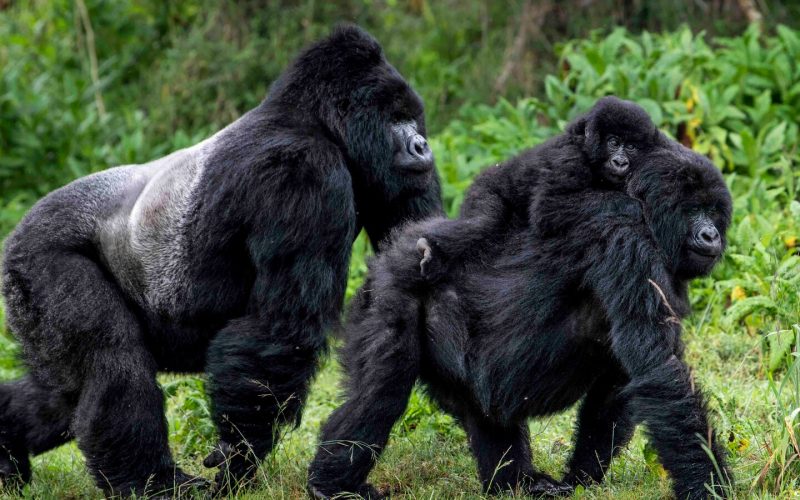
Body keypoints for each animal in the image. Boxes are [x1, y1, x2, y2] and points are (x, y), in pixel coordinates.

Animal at [0, 25, 440, 494]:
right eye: (395, 118)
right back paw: (153, 484)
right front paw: (241, 452)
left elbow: (403, 290)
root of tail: (17, 231)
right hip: (37, 257)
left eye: (413, 117)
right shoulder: (301, 173)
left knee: (61, 393)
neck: (316, 122)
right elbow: (278, 329)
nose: (422, 145)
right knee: (111, 363)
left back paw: (7, 450)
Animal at [412, 94, 664, 282]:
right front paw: (632, 206)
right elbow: (548, 207)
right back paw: (432, 250)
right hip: (482, 189)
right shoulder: (569, 160)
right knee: (483, 221)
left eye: (631, 147)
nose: (620, 162)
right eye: (613, 142)